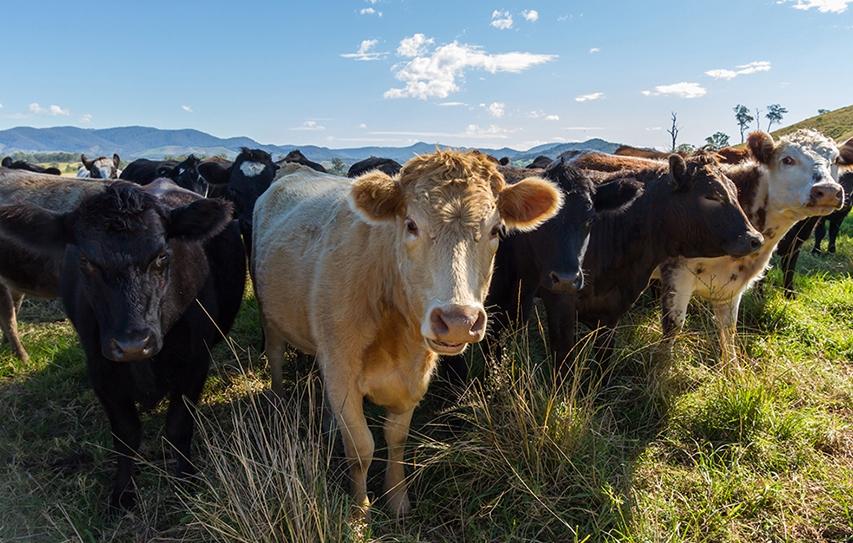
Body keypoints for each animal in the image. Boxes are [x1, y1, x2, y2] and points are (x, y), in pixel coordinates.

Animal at [251, 149, 563, 519]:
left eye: (496, 230)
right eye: (411, 225)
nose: (458, 319)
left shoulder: (411, 378)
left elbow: (396, 439)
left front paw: (397, 498)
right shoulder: (343, 373)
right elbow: (361, 447)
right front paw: (360, 509)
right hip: (268, 310)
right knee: (274, 355)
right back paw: (278, 403)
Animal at [541, 152, 763, 376]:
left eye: (735, 191)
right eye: (712, 196)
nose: (755, 239)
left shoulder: (610, 311)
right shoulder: (560, 301)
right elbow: (563, 360)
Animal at [654, 130, 845, 360]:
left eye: (836, 160)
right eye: (787, 159)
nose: (828, 190)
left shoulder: (731, 285)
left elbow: (728, 331)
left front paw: (732, 367)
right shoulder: (677, 274)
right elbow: (673, 328)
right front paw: (661, 366)